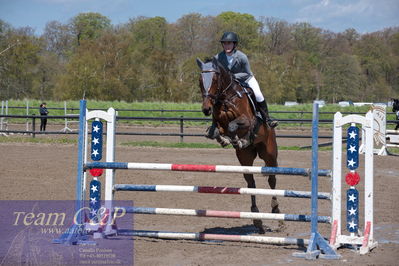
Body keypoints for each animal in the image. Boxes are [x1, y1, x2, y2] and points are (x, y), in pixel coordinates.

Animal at [198, 56, 280, 233]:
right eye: (200, 80)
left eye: (214, 79)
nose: (206, 109)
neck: (226, 98)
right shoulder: (218, 121)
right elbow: (215, 131)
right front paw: (225, 139)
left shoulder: (248, 120)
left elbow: (234, 125)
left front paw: (237, 138)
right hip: (245, 158)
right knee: (251, 184)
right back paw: (257, 219)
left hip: (269, 154)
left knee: (272, 179)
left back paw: (276, 209)